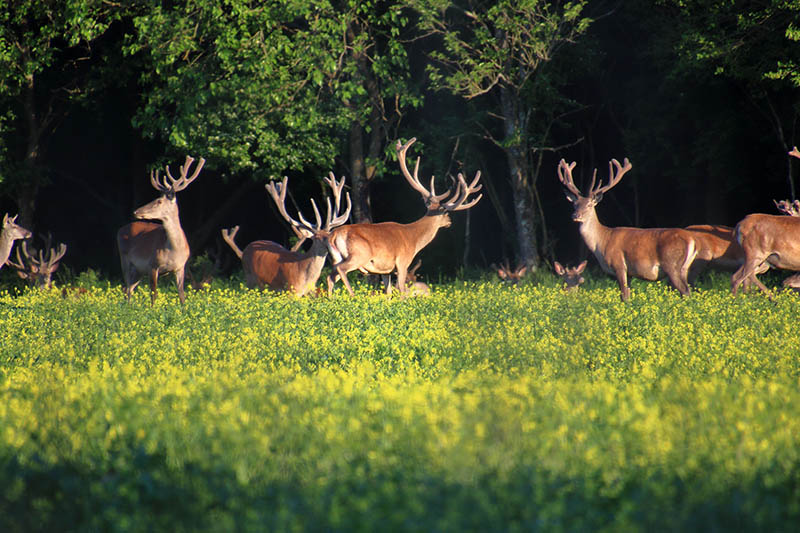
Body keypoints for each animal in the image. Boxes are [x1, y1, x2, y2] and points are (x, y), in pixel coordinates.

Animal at [119, 154, 208, 304]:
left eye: (159, 201)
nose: (136, 211)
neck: (174, 250)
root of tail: (120, 229)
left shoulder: (180, 267)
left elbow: (182, 296)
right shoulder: (152, 265)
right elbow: (153, 295)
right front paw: (153, 310)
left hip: (138, 270)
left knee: (128, 288)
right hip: (125, 259)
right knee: (126, 287)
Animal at [223, 172, 352, 296]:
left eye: (330, 234)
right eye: (317, 237)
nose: (332, 244)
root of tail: (248, 247)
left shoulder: (311, 292)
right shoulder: (292, 290)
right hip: (249, 278)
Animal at [324, 136, 482, 296]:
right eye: (446, 213)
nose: (449, 221)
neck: (414, 239)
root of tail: (334, 235)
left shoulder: (386, 270)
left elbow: (388, 293)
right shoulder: (402, 262)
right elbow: (401, 291)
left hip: (336, 258)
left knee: (330, 277)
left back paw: (331, 298)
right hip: (359, 255)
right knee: (340, 270)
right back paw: (352, 295)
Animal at [556, 157, 700, 300]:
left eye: (589, 205)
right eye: (574, 204)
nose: (575, 215)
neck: (601, 242)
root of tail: (691, 239)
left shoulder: (619, 265)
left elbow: (624, 296)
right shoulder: (630, 273)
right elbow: (628, 296)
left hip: (672, 264)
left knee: (685, 291)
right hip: (685, 268)